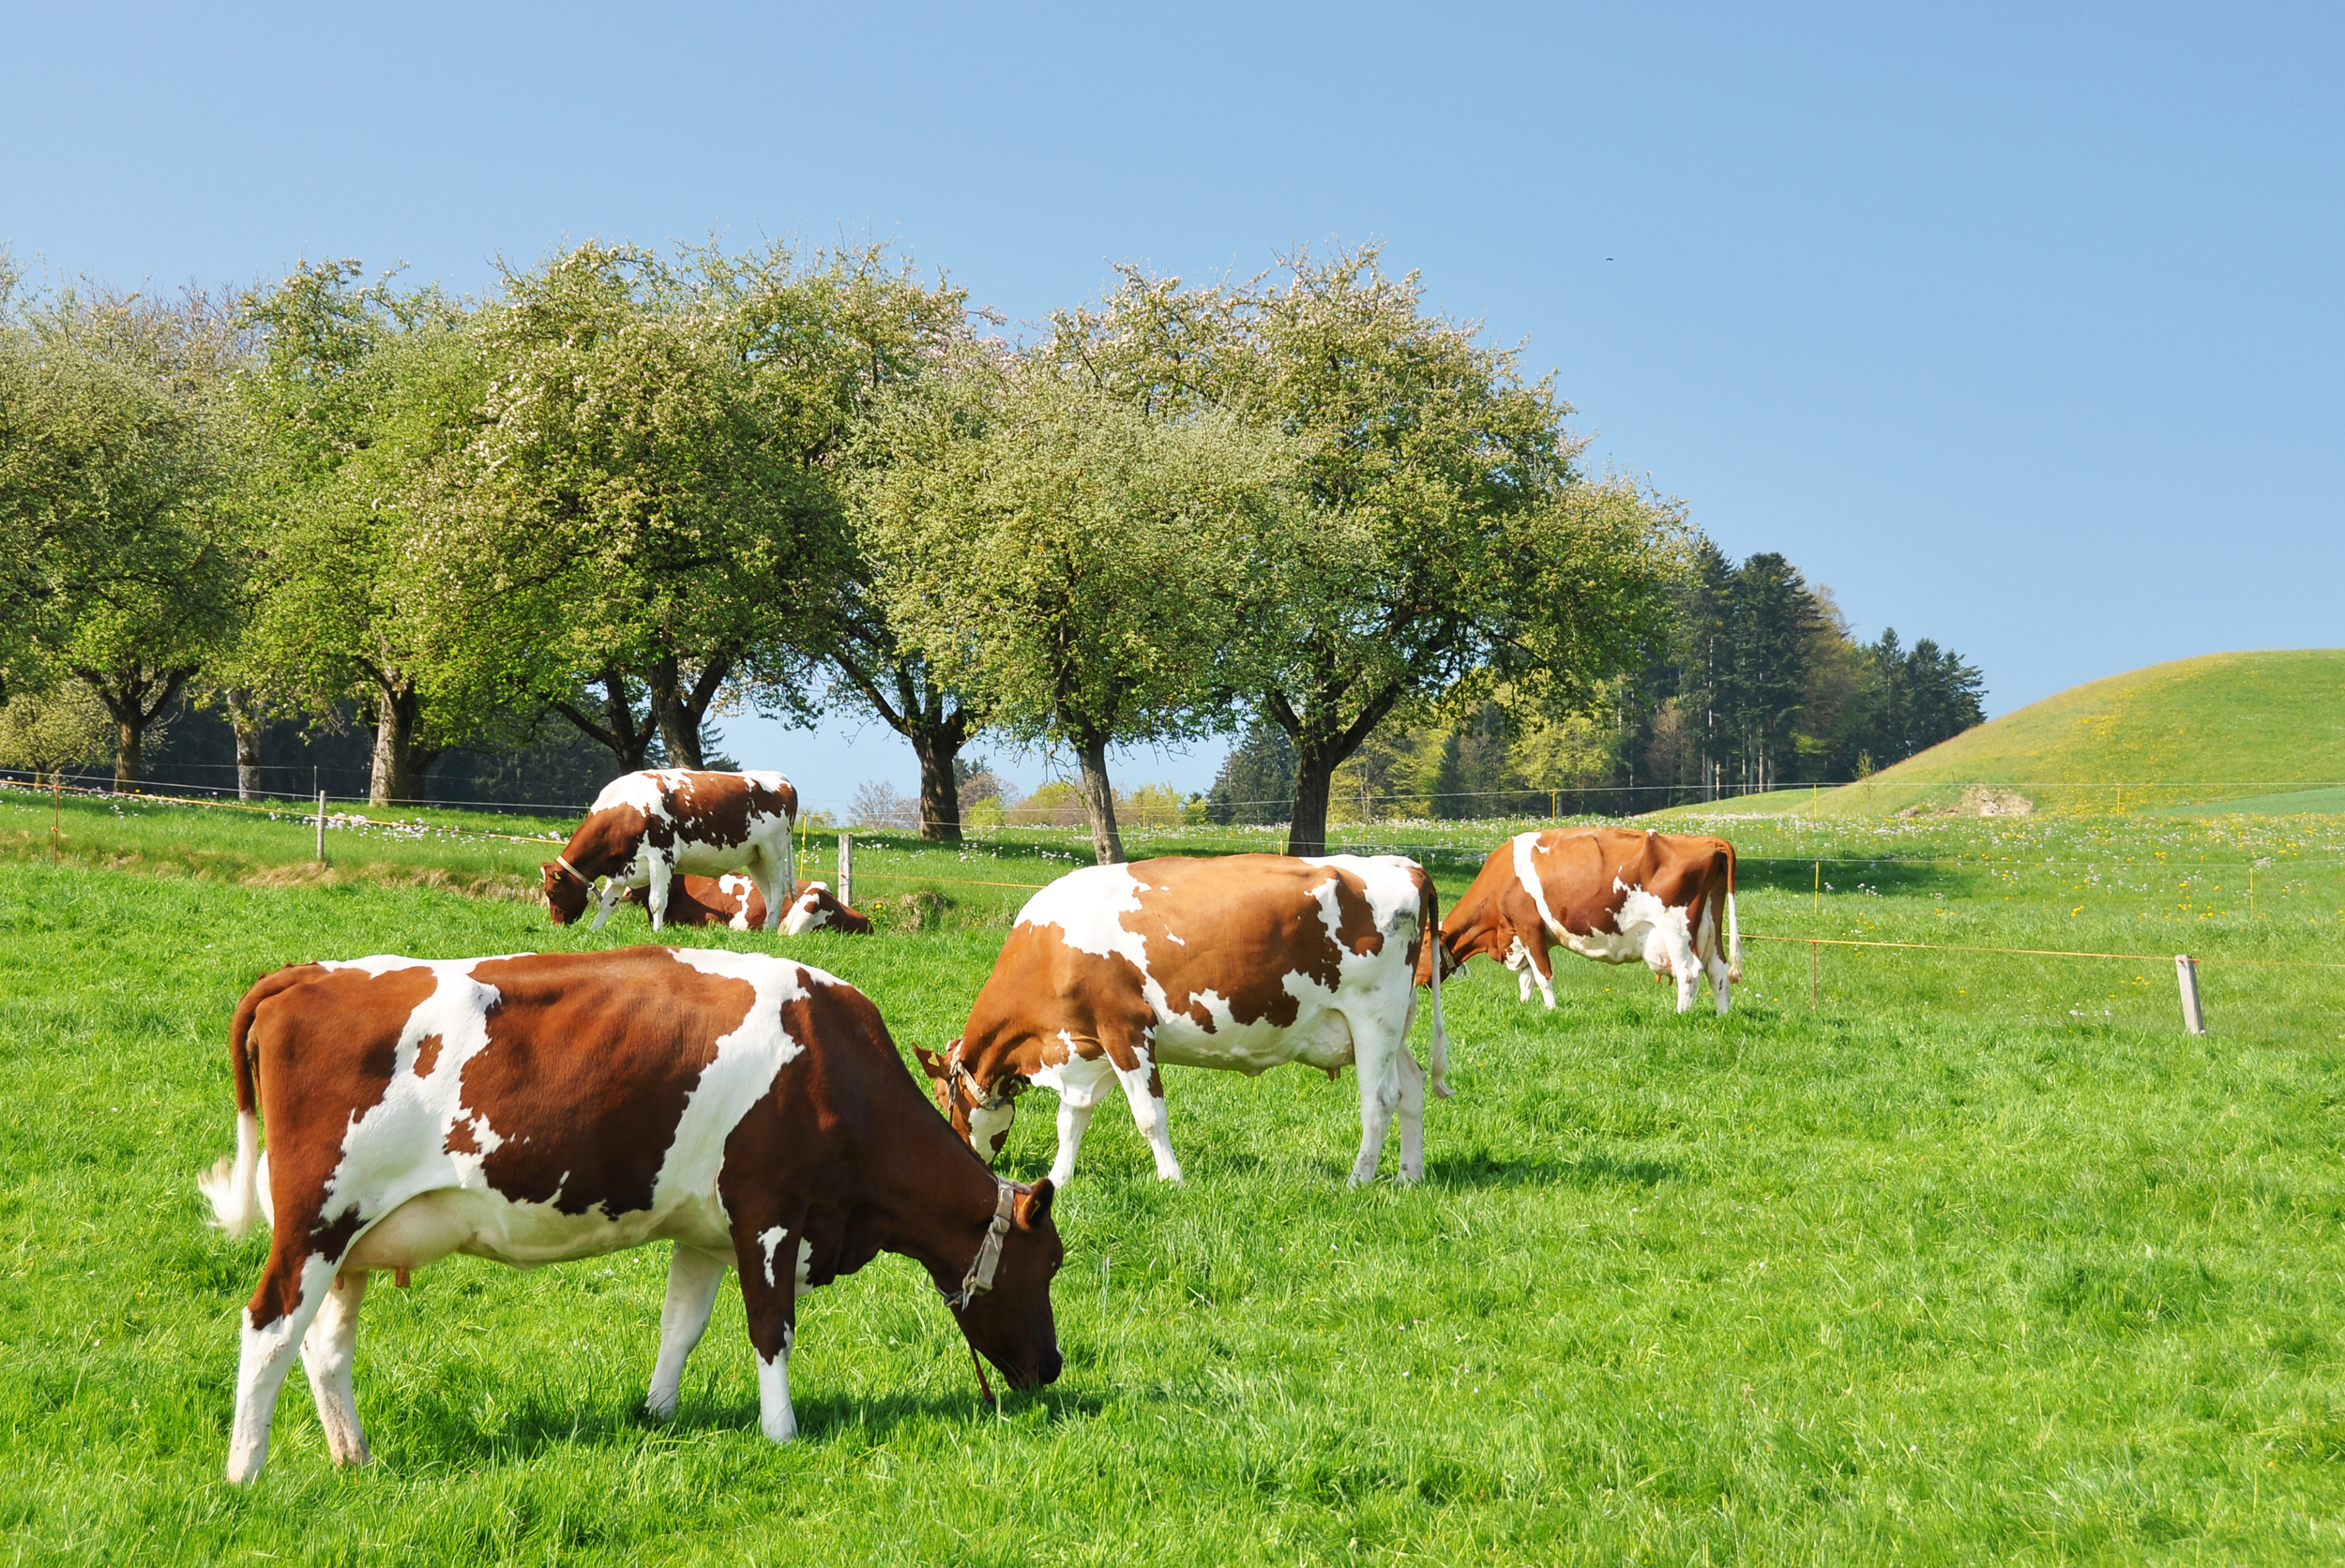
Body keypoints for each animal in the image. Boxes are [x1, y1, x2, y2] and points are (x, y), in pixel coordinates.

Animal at [197, 942, 1069, 1481]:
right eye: (1053, 1263)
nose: (1055, 1367)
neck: (836, 1067)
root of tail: (305, 975)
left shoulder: (708, 1231)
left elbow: (681, 1325)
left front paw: (657, 1413)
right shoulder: (770, 1211)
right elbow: (771, 1327)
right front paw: (782, 1432)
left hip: (353, 1242)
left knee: (324, 1349)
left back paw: (355, 1458)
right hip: (316, 1222)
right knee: (269, 1328)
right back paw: (245, 1472)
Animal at [544, 768, 802, 927]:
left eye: (552, 893)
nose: (556, 926)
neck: (627, 809)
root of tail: (779, 777)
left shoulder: (662, 858)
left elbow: (657, 901)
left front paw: (657, 934)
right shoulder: (623, 865)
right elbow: (607, 902)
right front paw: (593, 930)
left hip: (773, 849)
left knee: (778, 890)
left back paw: (769, 928)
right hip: (755, 857)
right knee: (767, 893)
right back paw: (768, 926)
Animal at [910, 857, 1445, 1185]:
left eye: (939, 1096)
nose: (961, 1163)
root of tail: (1403, 864)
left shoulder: (1125, 1030)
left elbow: (1149, 1116)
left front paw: (1172, 1179)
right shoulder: (1084, 1047)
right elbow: (1072, 1120)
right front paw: (1058, 1178)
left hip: (1373, 1017)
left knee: (1379, 1099)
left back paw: (1359, 1180)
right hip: (1395, 1025)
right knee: (1413, 1088)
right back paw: (1409, 1176)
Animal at [1426, 820, 1745, 1017]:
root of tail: (1707, 842)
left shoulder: (1528, 926)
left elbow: (1543, 976)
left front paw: (1551, 1011)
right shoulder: (1520, 935)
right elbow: (1526, 978)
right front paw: (1524, 1005)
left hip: (1676, 928)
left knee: (1689, 971)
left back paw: (1680, 1014)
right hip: (1710, 928)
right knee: (1717, 971)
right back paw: (1723, 1016)